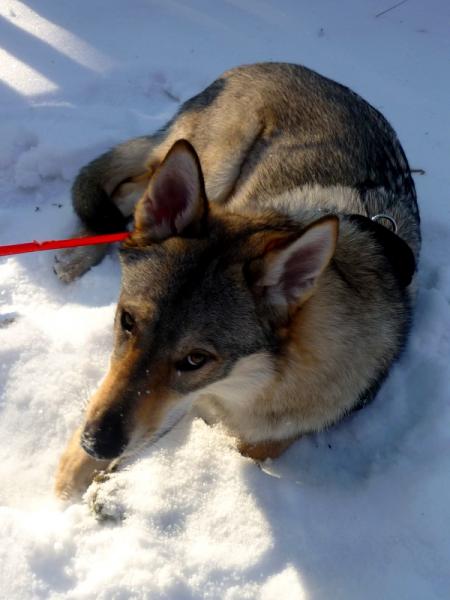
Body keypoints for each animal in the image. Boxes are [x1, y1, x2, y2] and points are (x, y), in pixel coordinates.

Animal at [54, 62, 420, 500]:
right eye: (127, 321)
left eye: (195, 360)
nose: (96, 442)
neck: (252, 387)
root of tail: (265, 65)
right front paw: (73, 477)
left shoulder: (255, 434)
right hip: (214, 168)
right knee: (128, 193)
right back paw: (76, 258)